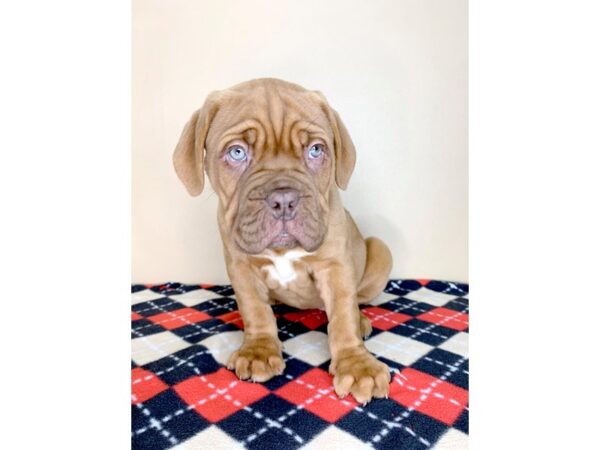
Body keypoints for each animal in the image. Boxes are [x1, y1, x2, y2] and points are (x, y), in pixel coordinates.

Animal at [172, 78, 394, 404]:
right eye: (237, 153)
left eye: (315, 150)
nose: (284, 200)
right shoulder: (241, 266)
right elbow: (255, 310)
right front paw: (258, 350)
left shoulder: (335, 266)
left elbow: (343, 316)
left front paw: (357, 365)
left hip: (380, 249)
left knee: (357, 301)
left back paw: (362, 319)